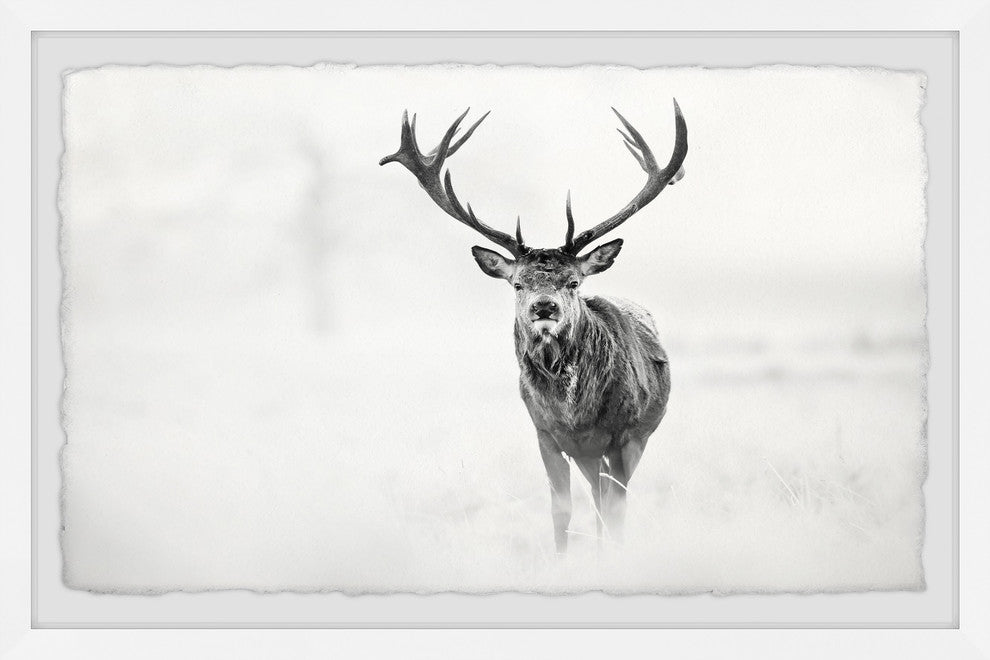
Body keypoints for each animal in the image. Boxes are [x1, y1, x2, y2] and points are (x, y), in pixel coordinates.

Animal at [379, 101, 687, 553]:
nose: (544, 306)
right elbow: (561, 511)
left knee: (608, 501)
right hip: (587, 455)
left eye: (573, 282)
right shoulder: (545, 434)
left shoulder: (623, 435)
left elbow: (616, 511)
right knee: (596, 496)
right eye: (518, 283)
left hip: (636, 438)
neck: (574, 413)